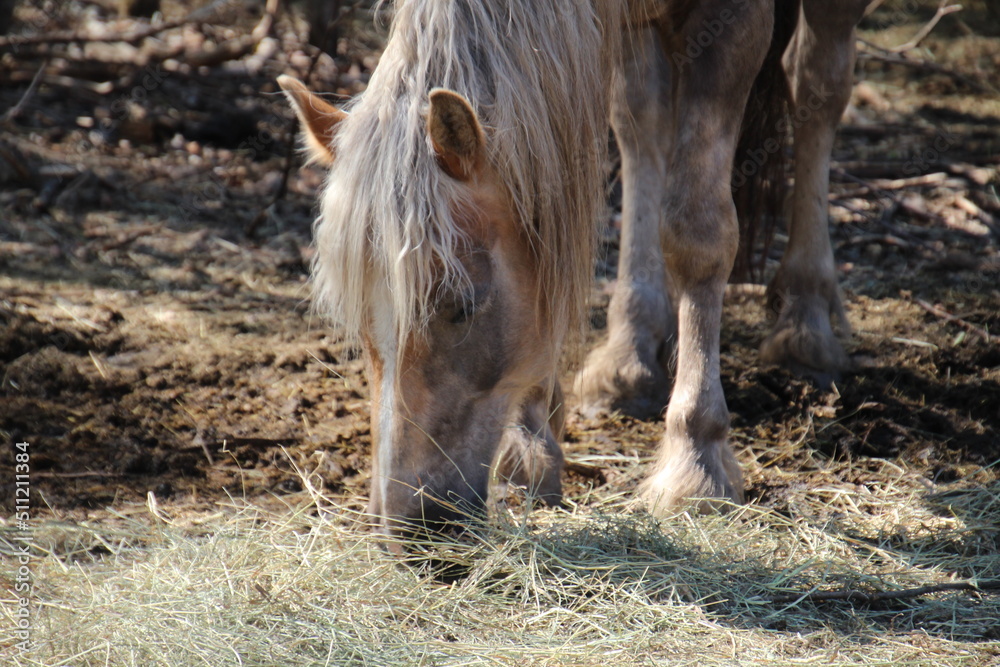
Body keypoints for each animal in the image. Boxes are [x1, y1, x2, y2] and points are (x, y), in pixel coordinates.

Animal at [279, 0, 870, 539]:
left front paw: (696, 462)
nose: (406, 528)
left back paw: (806, 318)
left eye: (462, 306)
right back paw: (630, 354)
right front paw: (529, 442)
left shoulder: (733, 22)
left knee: (817, 84)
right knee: (642, 121)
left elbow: (698, 233)